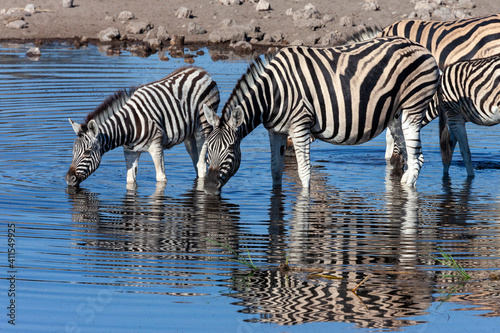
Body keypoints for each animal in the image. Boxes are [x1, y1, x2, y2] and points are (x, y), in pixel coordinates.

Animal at [65, 67, 219, 187]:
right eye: (72, 151)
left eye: (87, 152)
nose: (68, 179)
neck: (127, 128)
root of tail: (202, 71)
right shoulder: (130, 153)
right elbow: (130, 180)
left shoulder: (156, 147)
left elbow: (161, 178)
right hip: (189, 135)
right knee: (196, 162)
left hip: (203, 128)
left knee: (201, 165)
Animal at [201, 37, 440, 195]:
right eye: (208, 149)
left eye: (231, 148)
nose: (209, 187)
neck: (273, 93)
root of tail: (421, 47)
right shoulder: (275, 131)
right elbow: (275, 170)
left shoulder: (300, 126)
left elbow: (304, 173)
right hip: (396, 116)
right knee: (410, 157)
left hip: (413, 108)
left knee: (417, 159)